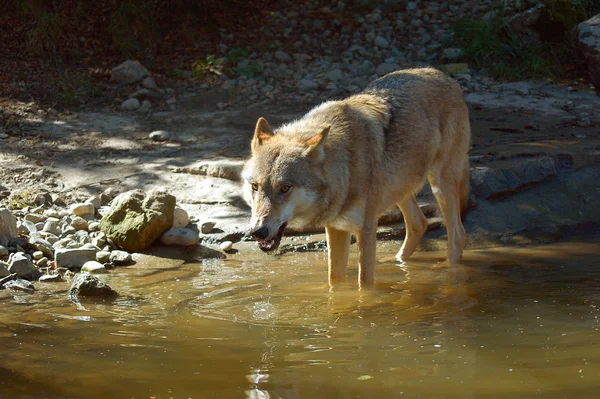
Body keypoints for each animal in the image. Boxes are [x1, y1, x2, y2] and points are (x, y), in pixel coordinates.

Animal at [241, 68, 472, 288]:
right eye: (255, 186)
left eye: (285, 188)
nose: (257, 231)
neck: (346, 167)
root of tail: (445, 77)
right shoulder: (336, 228)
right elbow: (335, 281)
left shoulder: (366, 228)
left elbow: (365, 285)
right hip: (401, 188)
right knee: (419, 223)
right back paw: (398, 262)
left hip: (440, 184)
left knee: (458, 235)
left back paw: (447, 272)